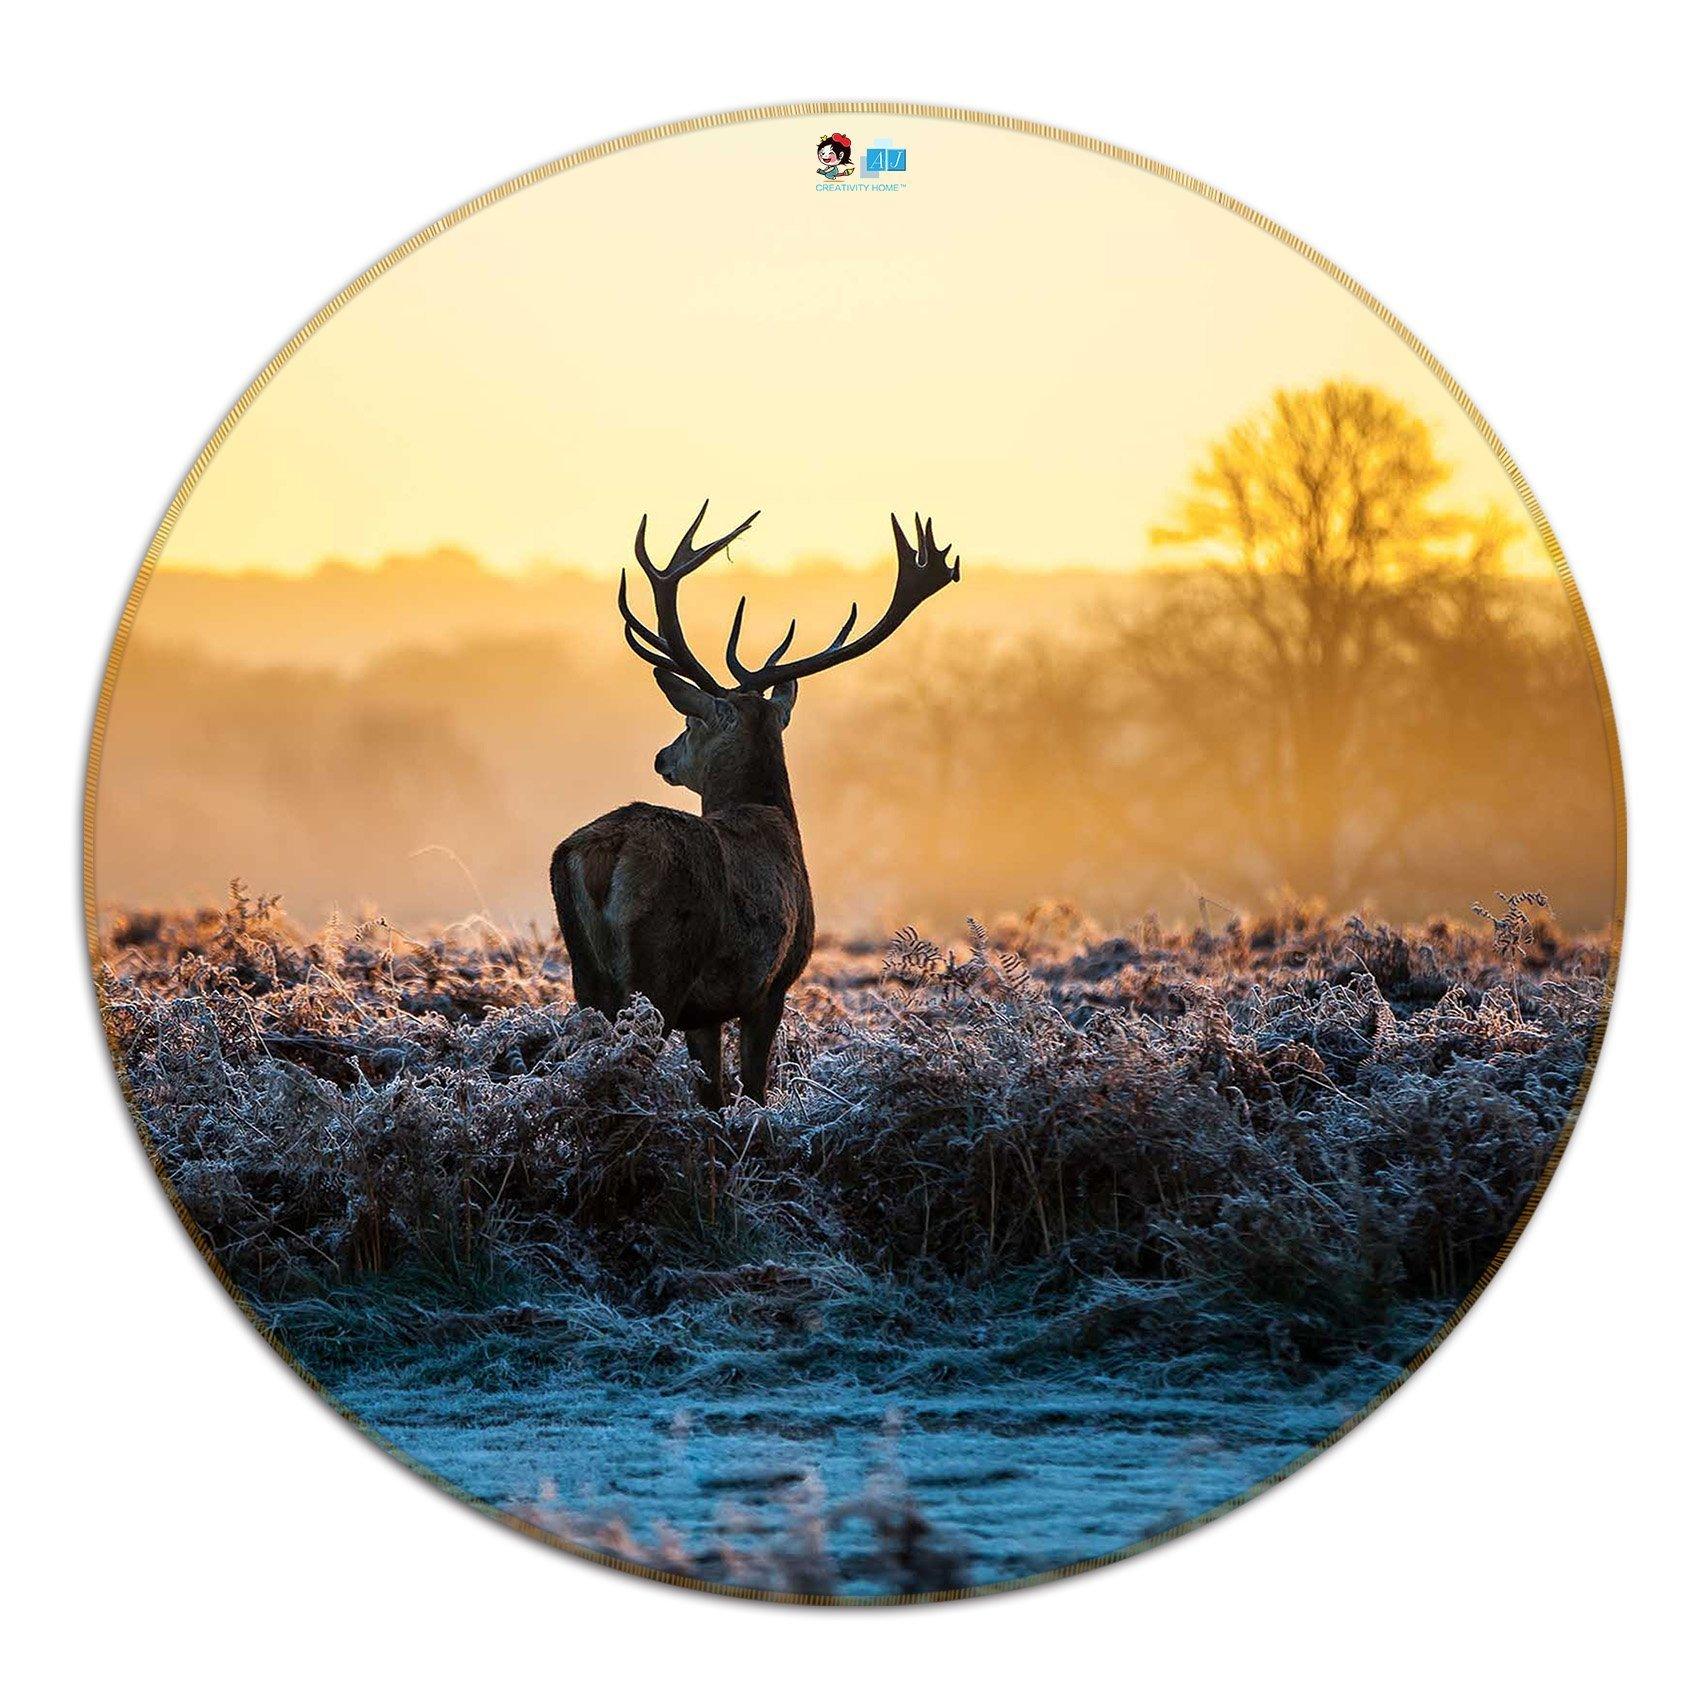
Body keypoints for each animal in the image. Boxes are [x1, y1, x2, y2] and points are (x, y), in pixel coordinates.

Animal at [551, 503, 961, 1107]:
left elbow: (714, 1093)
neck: (772, 817)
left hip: (587, 976)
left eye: (690, 721)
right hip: (661, 968)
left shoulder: (707, 1011)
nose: (662, 758)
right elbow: (753, 1088)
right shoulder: (770, 984)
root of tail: (607, 851)